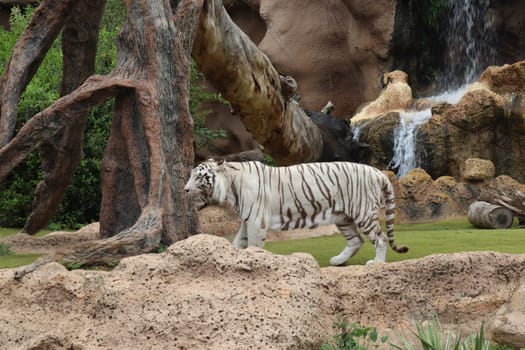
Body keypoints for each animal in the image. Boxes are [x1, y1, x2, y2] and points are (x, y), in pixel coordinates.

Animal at [182, 159, 408, 266]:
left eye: (198, 177)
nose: (184, 190)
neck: (231, 186)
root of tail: (377, 172)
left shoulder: (256, 220)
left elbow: (253, 245)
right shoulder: (248, 219)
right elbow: (239, 242)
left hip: (362, 212)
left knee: (380, 238)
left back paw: (377, 263)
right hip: (343, 216)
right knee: (356, 240)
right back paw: (337, 260)